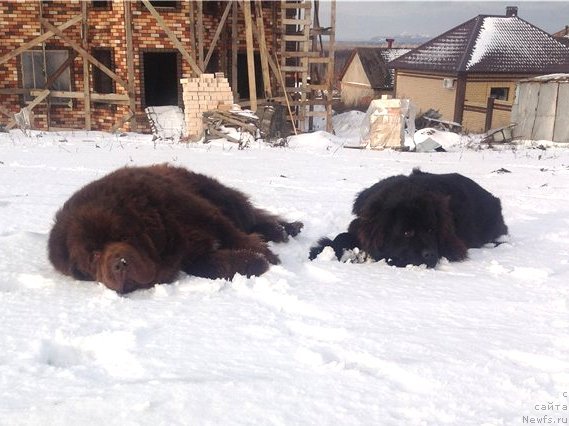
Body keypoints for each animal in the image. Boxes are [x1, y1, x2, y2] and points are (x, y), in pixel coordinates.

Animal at [48, 165, 304, 294]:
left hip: (220, 196)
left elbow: (234, 235)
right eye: (94, 255)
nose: (119, 264)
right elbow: (204, 264)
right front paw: (253, 262)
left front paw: (267, 257)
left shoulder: (201, 213)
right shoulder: (186, 251)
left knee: (251, 218)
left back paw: (285, 230)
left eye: (123, 236)